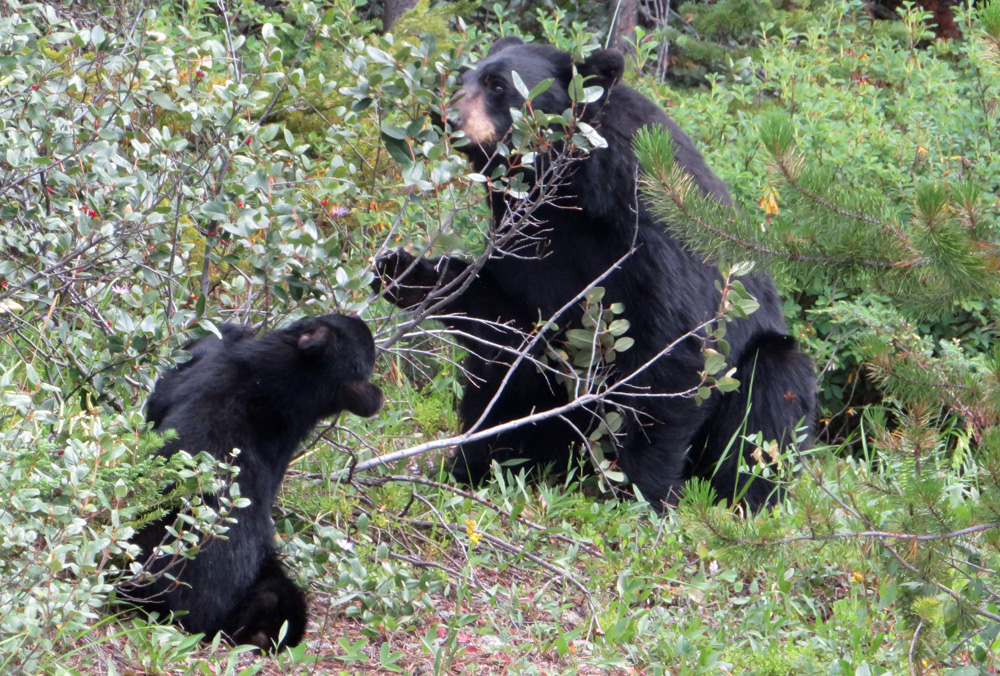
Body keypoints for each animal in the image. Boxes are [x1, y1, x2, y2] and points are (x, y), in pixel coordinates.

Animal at [374, 37, 812, 510]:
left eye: (497, 86)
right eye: (462, 78)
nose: (446, 118)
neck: (576, 189)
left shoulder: (653, 235)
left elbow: (673, 347)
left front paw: (641, 490)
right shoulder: (527, 234)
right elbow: (512, 320)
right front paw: (402, 271)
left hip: (769, 375)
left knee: (768, 396)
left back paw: (746, 497)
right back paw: (470, 464)